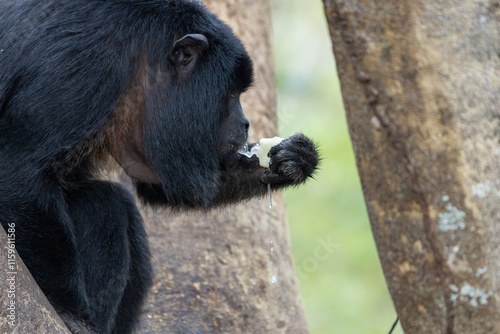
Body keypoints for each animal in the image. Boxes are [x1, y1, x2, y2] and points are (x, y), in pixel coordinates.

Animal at [0, 0, 318, 332]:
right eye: (230, 93)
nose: (245, 123)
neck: (141, 54)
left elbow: (153, 182)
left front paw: (295, 161)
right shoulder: (84, 69)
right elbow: (19, 175)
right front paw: (69, 312)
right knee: (102, 204)